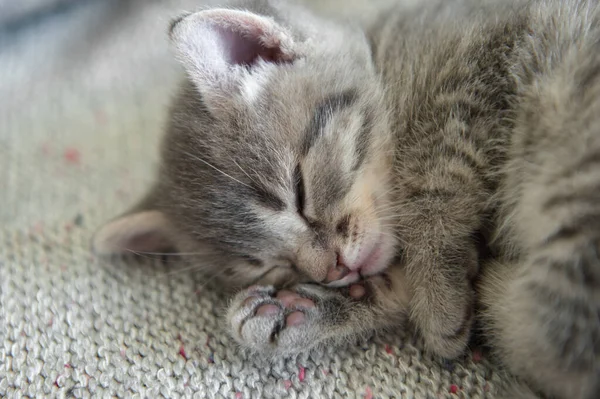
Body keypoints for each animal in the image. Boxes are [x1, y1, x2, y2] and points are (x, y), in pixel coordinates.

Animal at [92, 1, 600, 398]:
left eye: (298, 192)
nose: (332, 269)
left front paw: (438, 297)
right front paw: (302, 308)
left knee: (550, 335)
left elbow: (435, 173)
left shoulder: (485, 58)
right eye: (267, 267)